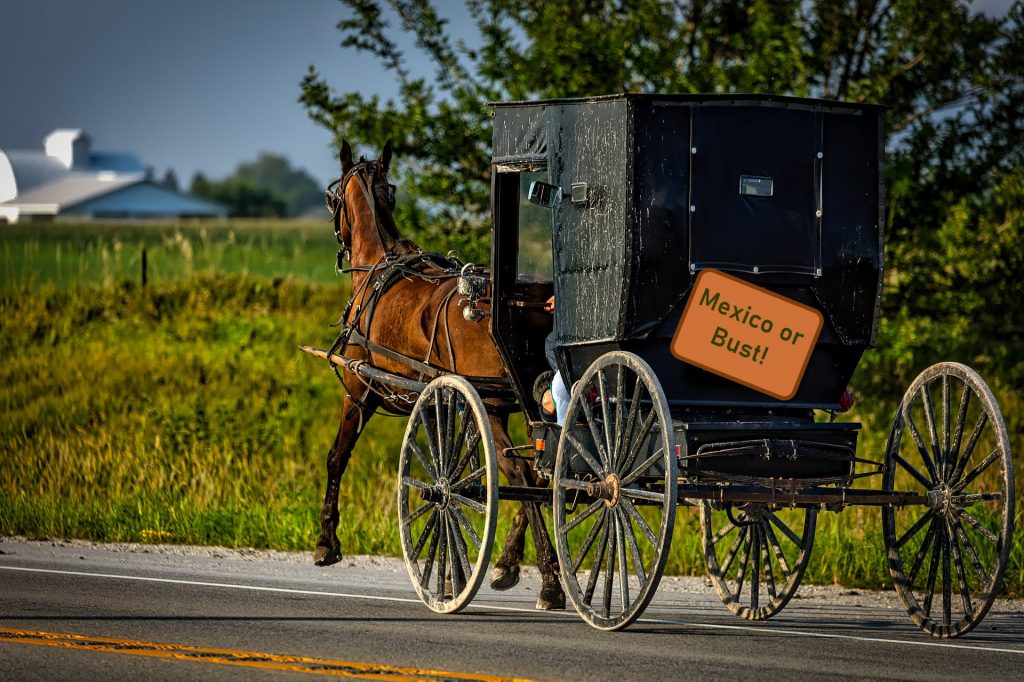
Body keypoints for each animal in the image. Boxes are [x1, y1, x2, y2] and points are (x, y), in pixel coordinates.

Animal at [313, 140, 569, 606]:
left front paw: (327, 542)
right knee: (543, 470)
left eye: (332, 197)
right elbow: (451, 469)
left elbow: (337, 457)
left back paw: (549, 580)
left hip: (491, 404)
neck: (379, 266)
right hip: (519, 402)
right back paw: (509, 564)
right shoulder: (439, 401)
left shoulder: (359, 390)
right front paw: (454, 571)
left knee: (522, 474)